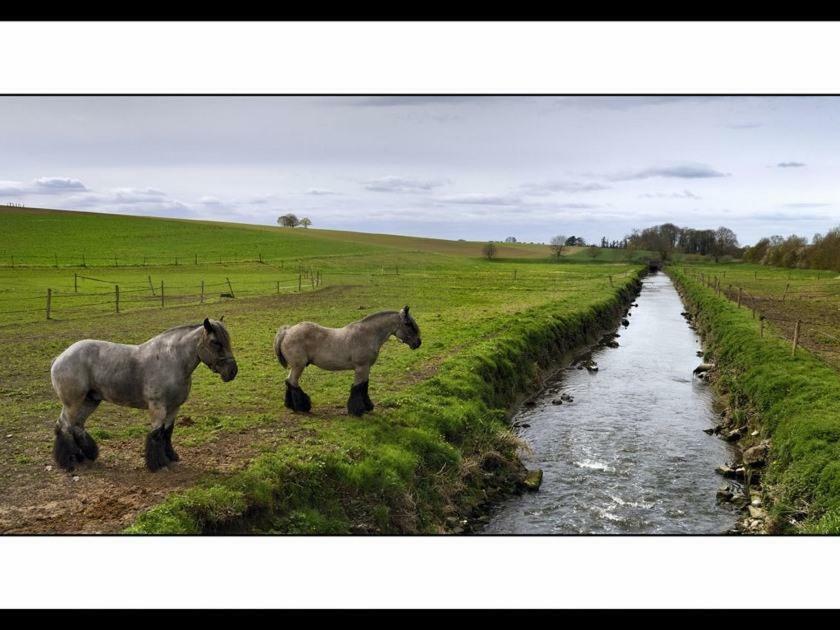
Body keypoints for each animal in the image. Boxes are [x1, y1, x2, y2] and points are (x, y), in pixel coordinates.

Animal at [50, 320, 238, 474]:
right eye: (215, 342)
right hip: (73, 403)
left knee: (76, 426)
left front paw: (171, 457)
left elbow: (167, 433)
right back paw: (68, 462)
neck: (171, 361)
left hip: (90, 401)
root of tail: (60, 357)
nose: (232, 371)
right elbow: (156, 434)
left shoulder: (174, 408)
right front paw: (158, 464)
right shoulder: (158, 408)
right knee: (63, 426)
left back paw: (84, 456)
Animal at [274, 308, 420, 418]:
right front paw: (357, 411)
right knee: (292, 382)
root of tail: (287, 331)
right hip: (298, 366)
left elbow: (364, 386)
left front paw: (368, 406)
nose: (418, 343)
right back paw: (302, 407)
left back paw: (291, 405)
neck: (367, 335)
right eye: (408, 324)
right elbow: (358, 387)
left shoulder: (366, 368)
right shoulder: (361, 367)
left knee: (289, 382)